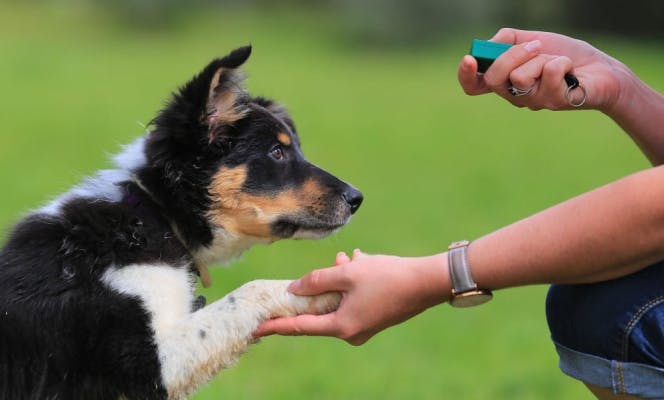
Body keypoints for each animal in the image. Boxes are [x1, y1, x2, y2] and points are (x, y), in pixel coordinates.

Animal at [0, 45, 364, 398]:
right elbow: (252, 290)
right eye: (277, 152)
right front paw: (327, 289)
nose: (357, 198)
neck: (154, 214)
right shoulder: (151, 363)